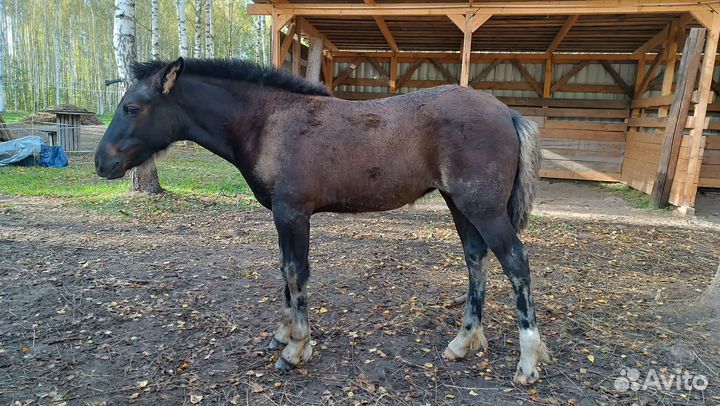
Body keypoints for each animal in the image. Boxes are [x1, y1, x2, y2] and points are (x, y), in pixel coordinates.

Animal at [95, 57, 550, 385]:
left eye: (131, 107)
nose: (102, 162)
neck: (270, 123)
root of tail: (508, 113)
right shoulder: (282, 216)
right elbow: (284, 270)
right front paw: (283, 334)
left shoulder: (293, 214)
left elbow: (296, 273)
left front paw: (296, 349)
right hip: (460, 206)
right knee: (476, 261)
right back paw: (463, 342)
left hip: (483, 209)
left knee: (516, 265)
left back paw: (527, 364)